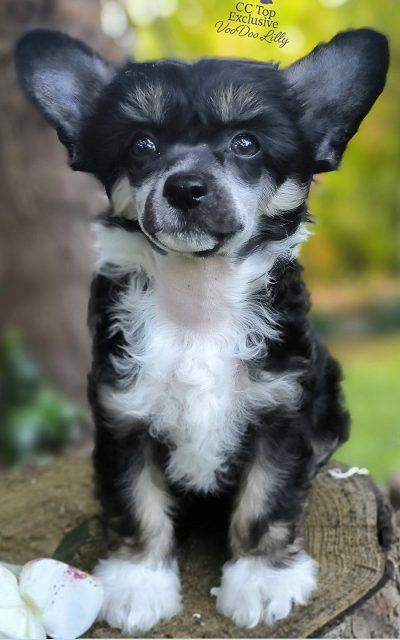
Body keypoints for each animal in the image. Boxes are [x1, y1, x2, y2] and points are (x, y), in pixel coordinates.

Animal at [15, 27, 389, 632]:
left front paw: (261, 579)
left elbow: (265, 500)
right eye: (141, 144)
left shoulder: (281, 412)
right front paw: (138, 582)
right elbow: (137, 503)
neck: (198, 303)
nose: (186, 187)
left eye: (246, 144)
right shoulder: (124, 417)